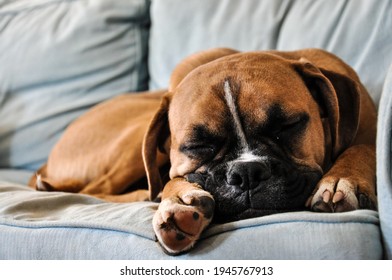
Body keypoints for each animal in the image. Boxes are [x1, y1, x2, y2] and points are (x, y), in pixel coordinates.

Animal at [29, 48, 378, 256]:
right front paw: (178, 201)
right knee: (100, 188)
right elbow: (172, 180)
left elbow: (363, 147)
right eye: (198, 147)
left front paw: (340, 179)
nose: (246, 173)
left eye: (288, 126)